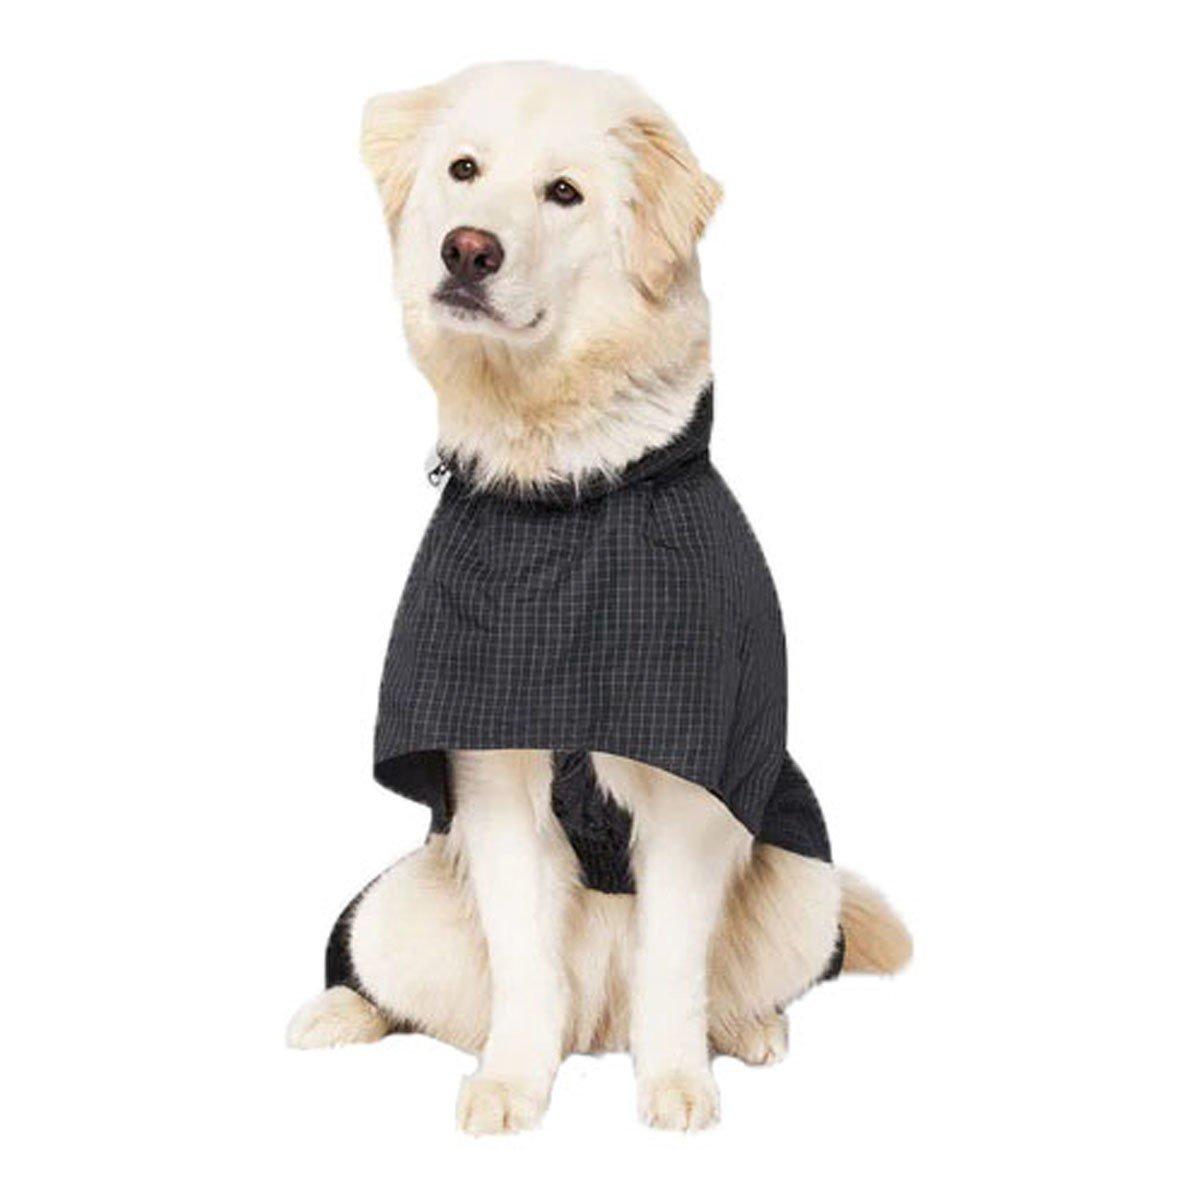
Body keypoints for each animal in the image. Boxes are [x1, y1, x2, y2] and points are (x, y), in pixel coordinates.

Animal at [287, 62, 910, 1134]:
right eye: (463, 170)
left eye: (564, 193)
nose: (468, 250)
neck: (566, 509)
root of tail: (599, 1027)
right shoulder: (493, 774)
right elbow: (525, 965)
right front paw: (510, 1086)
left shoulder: (692, 791)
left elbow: (673, 962)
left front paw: (676, 1087)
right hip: (398, 907)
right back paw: (336, 1015)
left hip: (802, 886)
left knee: (726, 982)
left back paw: (749, 1031)